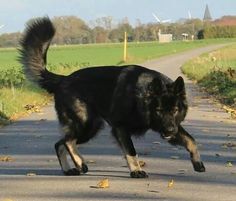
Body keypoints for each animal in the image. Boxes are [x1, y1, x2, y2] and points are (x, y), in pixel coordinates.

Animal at [19, 16, 205, 177]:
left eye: (174, 110)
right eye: (158, 110)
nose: (169, 131)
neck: (141, 97)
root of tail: (63, 79)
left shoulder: (171, 126)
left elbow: (191, 140)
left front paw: (197, 163)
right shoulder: (120, 128)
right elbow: (131, 151)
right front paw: (136, 171)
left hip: (91, 127)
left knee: (60, 143)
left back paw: (69, 169)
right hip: (88, 124)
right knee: (67, 141)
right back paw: (80, 163)